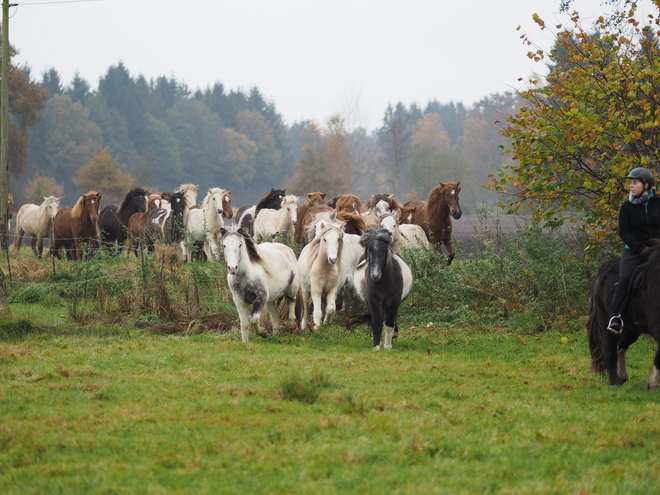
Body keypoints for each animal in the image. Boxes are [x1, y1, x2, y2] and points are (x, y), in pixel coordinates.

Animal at [584, 250, 660, 390]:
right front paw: (652, 383)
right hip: (606, 322)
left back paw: (621, 376)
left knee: (620, 346)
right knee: (609, 352)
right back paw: (615, 382)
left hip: (632, 329)